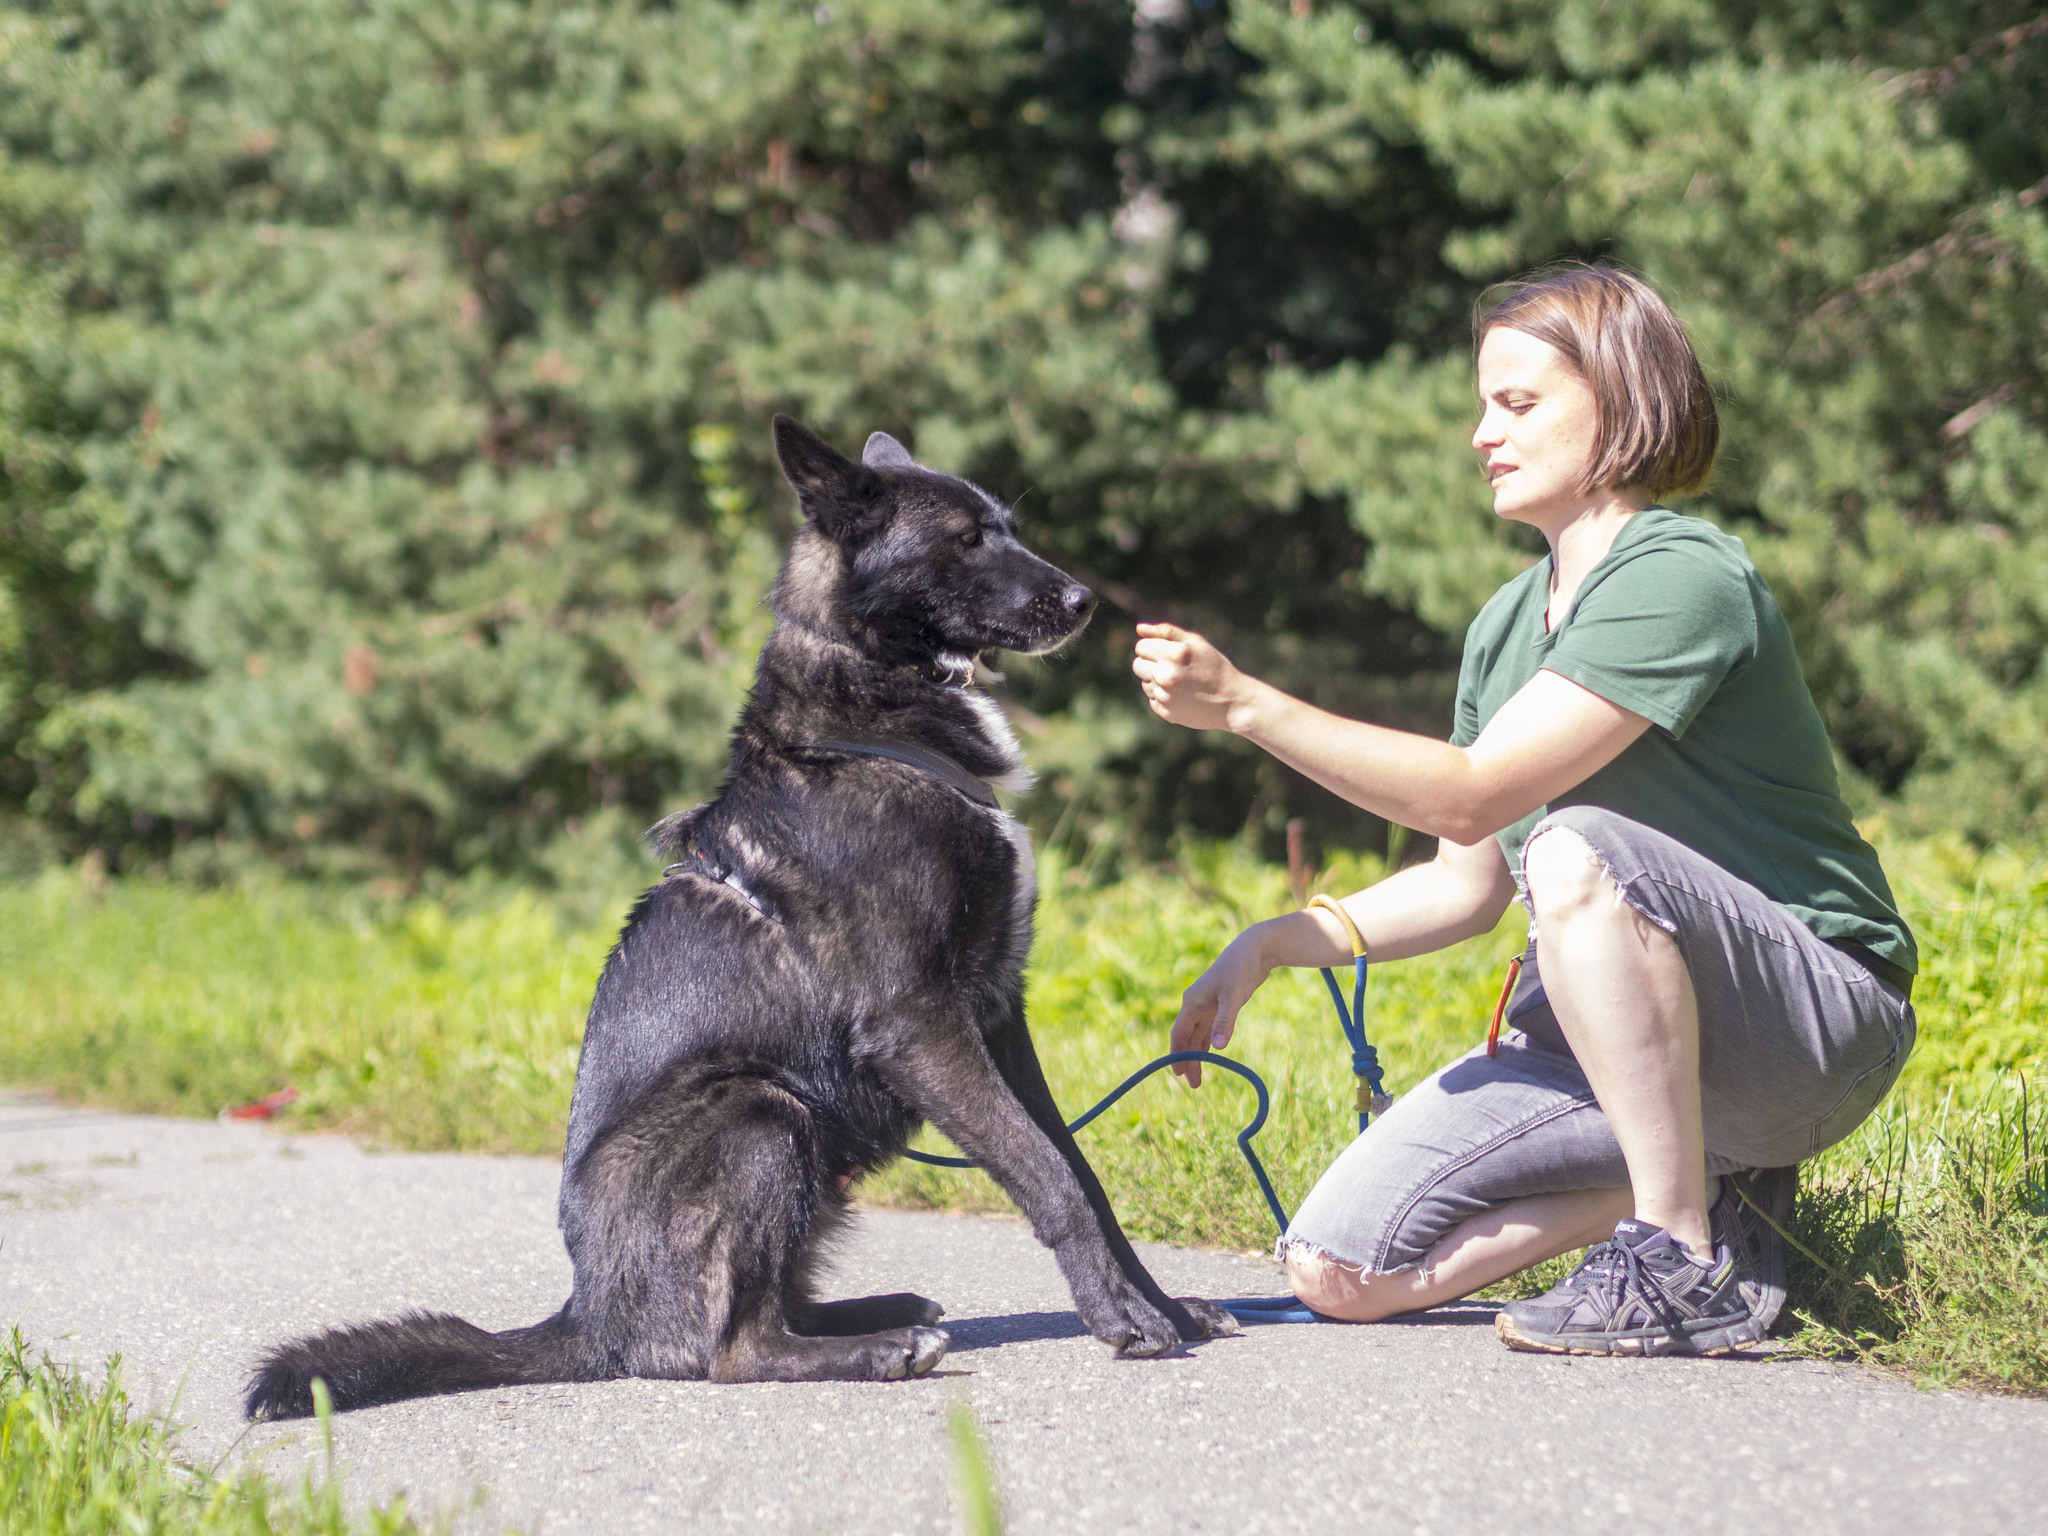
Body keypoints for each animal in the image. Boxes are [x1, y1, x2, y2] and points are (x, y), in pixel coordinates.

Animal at [239, 417, 1228, 1417]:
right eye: (966, 538)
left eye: (1009, 528)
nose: (1085, 600)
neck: (866, 720)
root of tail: (591, 1316)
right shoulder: (920, 1024)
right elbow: (1047, 1175)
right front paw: (1122, 1318)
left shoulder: (997, 1015)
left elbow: (1078, 1167)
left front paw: (1161, 1304)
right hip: (761, 1111)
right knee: (734, 1346)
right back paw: (878, 1349)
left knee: (778, 1300)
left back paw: (881, 1314)